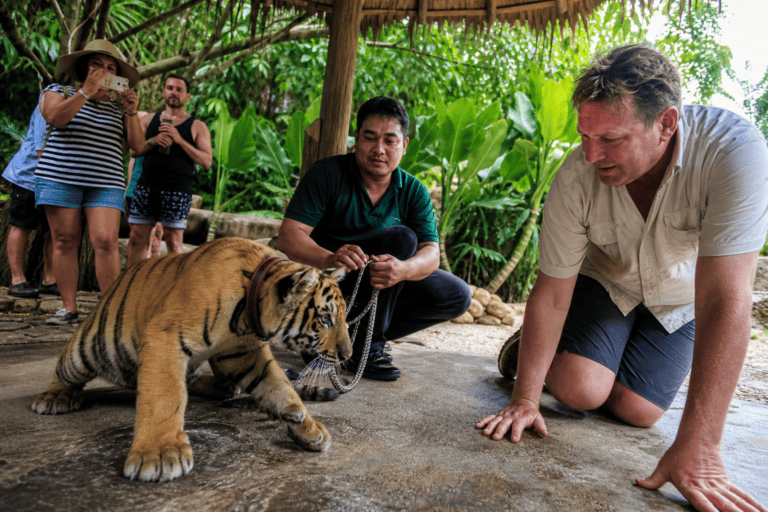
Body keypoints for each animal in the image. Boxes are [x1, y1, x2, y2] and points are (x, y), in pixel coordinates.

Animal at [31, 237, 352, 482]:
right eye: (325, 319)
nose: (347, 356)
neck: (249, 314)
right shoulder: (166, 337)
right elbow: (166, 394)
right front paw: (160, 454)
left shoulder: (241, 353)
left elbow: (277, 382)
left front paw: (305, 424)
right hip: (88, 347)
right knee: (65, 368)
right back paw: (54, 397)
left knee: (196, 378)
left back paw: (225, 388)